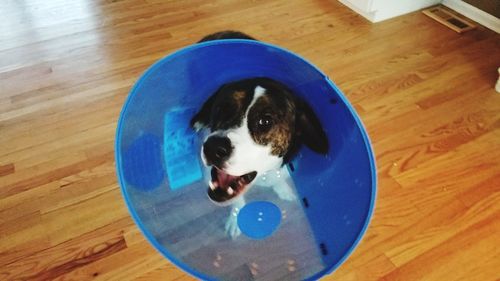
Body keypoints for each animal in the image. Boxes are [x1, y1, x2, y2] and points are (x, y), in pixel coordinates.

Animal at [191, 30, 328, 236]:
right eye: (222, 109)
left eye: (265, 121)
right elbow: (237, 201)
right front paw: (236, 217)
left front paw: (284, 190)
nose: (213, 147)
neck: (263, 174)